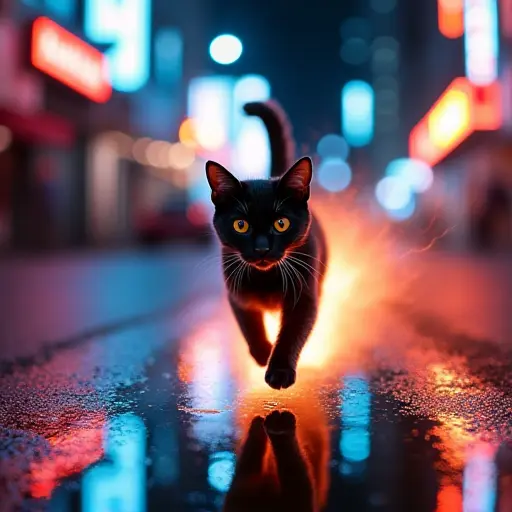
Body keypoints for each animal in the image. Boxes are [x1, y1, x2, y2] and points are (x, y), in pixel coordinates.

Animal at [206, 101, 326, 388]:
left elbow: (292, 334)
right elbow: (249, 325)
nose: (261, 248)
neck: (266, 277)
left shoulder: (304, 297)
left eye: (281, 223)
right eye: (241, 225)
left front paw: (279, 370)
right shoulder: (237, 292)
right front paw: (262, 352)